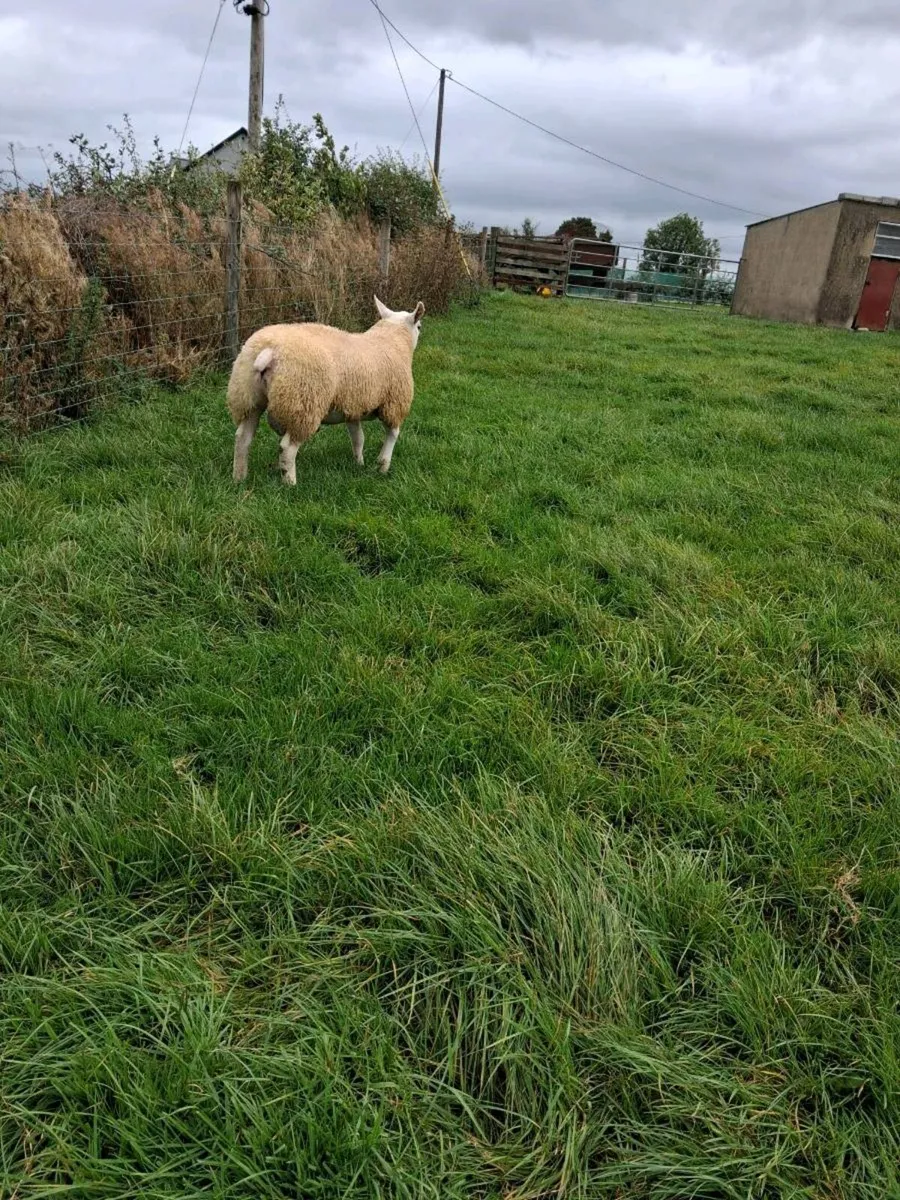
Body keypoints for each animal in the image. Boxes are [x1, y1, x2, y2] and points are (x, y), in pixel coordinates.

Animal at [227, 295, 425, 485]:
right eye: (419, 326)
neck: (393, 340)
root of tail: (268, 351)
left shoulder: (352, 407)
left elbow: (358, 438)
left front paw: (359, 463)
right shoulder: (394, 403)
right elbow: (392, 435)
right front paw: (383, 466)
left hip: (247, 398)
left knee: (242, 439)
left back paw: (239, 478)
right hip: (304, 402)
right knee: (287, 448)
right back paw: (290, 484)